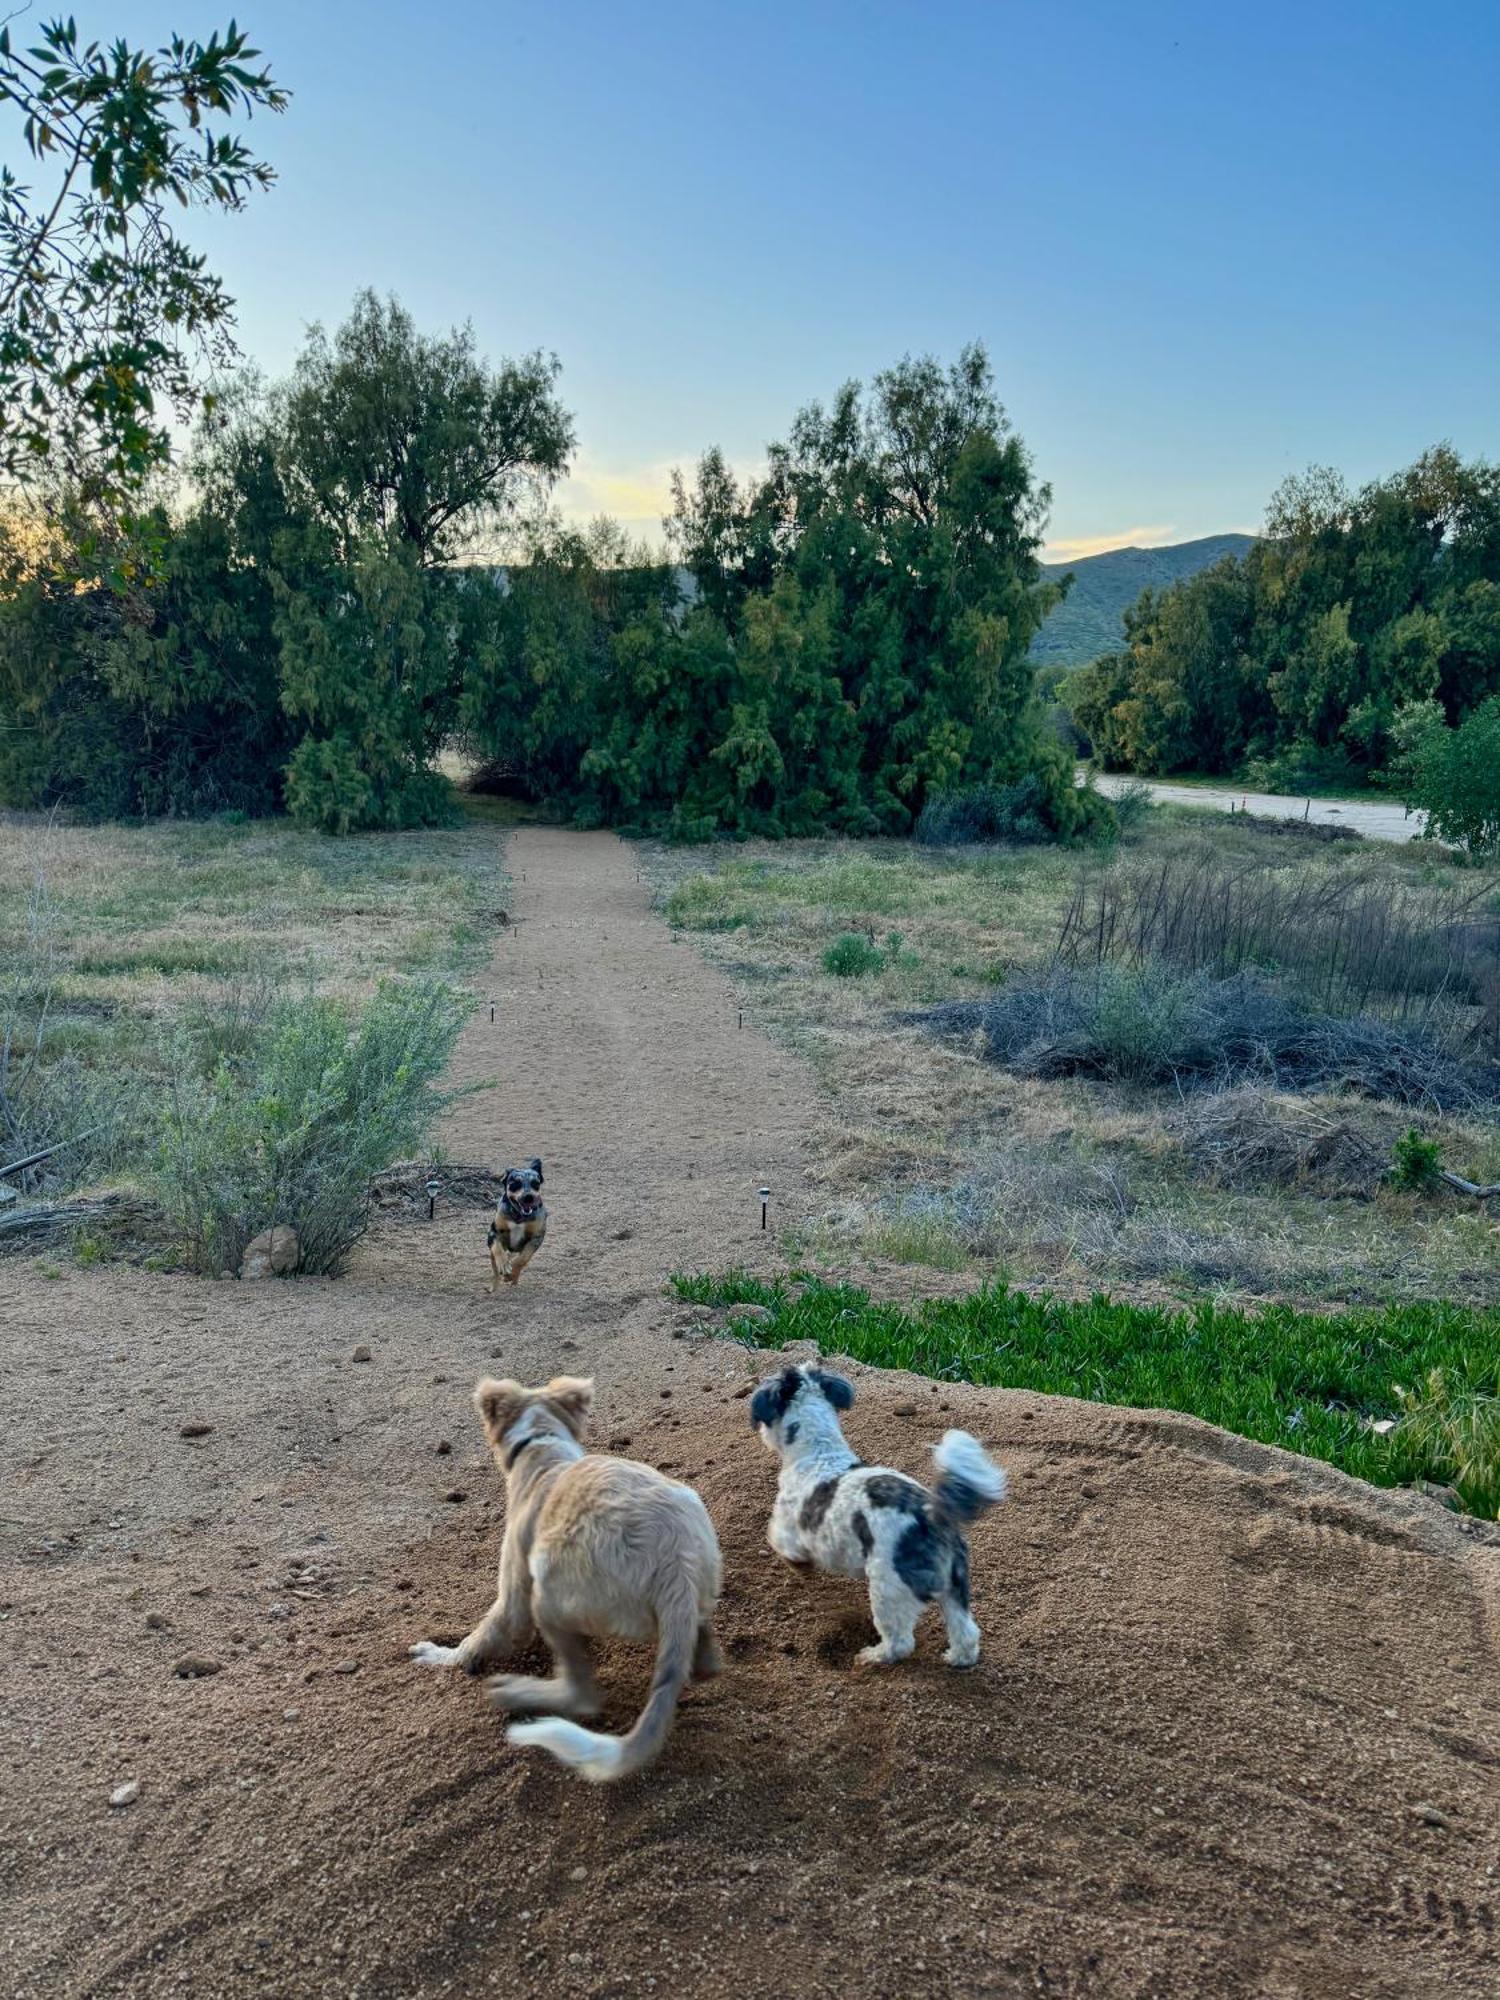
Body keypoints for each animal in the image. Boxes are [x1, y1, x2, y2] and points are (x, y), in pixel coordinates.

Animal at [406, 1376, 724, 1784]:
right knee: (702, 1652)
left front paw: (437, 1654)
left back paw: (518, 1693)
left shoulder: (513, 1595)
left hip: (550, 1595)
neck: (542, 1444)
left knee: (582, 1695)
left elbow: (477, 1639)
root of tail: (677, 1568)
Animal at [488, 1160, 548, 1296]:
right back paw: (493, 1288)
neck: (519, 1217)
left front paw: (511, 1274)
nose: (528, 1197)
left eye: (535, 1184)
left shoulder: (536, 1237)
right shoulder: (493, 1232)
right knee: (495, 1272)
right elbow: (498, 1248)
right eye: (515, 1183)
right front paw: (504, 1265)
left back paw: (513, 1279)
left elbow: (522, 1258)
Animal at [752, 1360, 1012, 1672]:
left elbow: (782, 1543)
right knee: (966, 1633)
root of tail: (931, 1516)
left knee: (900, 1642)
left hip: (888, 1588)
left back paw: (873, 1657)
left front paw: (799, 1566)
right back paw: (957, 1659)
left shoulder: (791, 1529)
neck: (819, 1453)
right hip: (954, 1587)